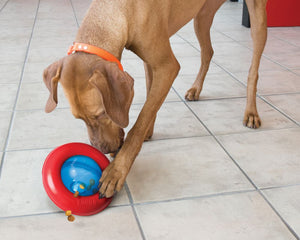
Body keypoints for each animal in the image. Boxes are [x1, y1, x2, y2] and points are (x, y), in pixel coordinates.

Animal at [42, 0, 268, 198]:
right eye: (80, 119)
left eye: (102, 114)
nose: (106, 150)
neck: (115, 10)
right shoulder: (150, 63)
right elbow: (150, 103)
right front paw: (147, 132)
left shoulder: (167, 66)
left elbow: (141, 120)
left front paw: (117, 170)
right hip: (201, 17)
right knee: (208, 52)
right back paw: (196, 89)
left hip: (257, 18)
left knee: (253, 69)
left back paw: (251, 112)